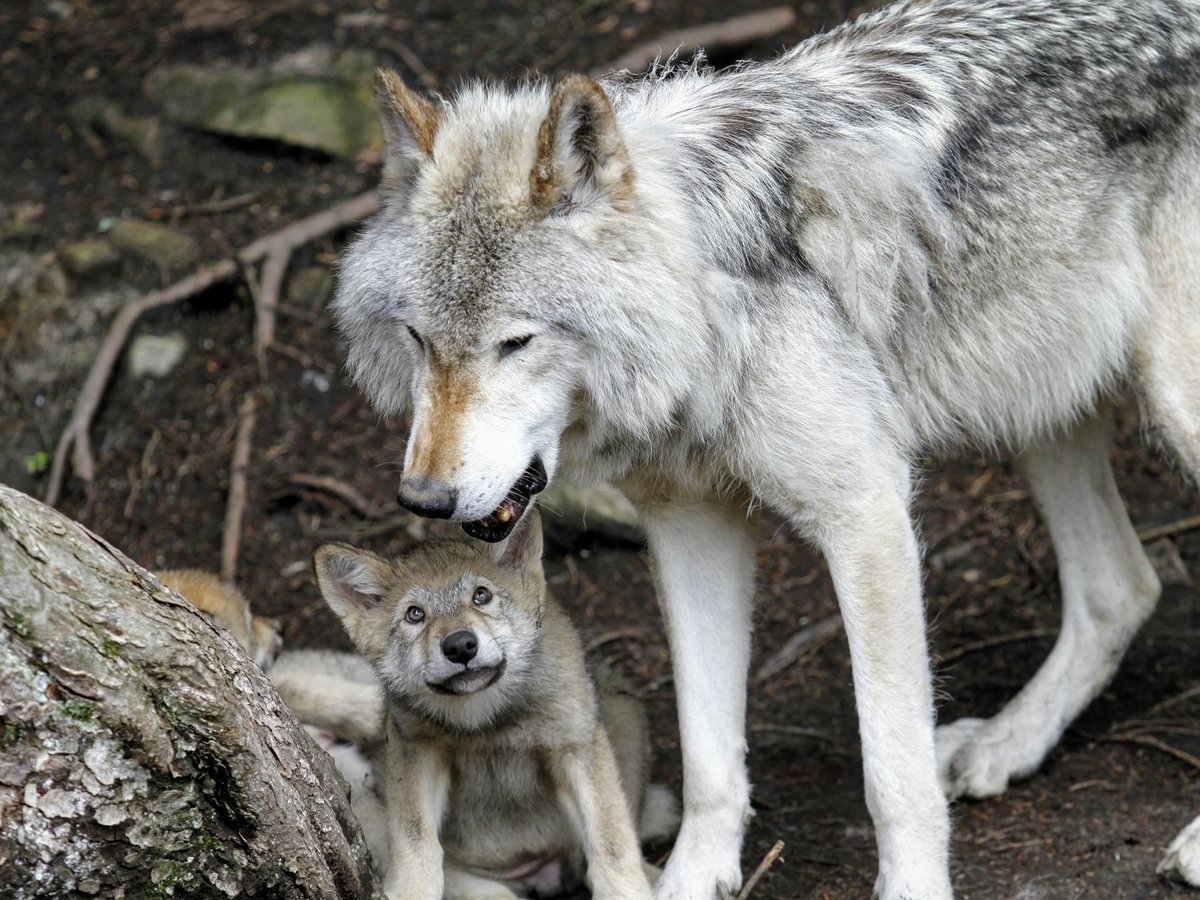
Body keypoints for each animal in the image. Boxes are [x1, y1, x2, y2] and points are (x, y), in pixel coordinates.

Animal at [302, 513, 676, 900]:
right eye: (415, 615)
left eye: (481, 596)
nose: (460, 646)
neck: (485, 721)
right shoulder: (416, 749)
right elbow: (415, 842)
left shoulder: (574, 745)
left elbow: (612, 843)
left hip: (622, 711)